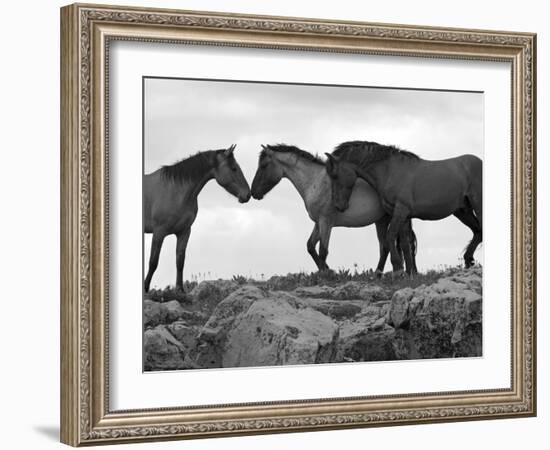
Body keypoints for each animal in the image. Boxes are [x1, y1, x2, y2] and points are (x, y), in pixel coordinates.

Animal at [144, 144, 252, 292]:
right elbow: (153, 262)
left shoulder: (184, 231)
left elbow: (180, 261)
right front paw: (145, 288)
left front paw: (180, 290)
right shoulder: (159, 232)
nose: (248, 194)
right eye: (233, 168)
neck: (175, 191)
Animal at [251, 144, 418, 274]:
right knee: (390, 246)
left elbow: (323, 250)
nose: (253, 192)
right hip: (382, 220)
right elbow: (310, 246)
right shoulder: (318, 222)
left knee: (399, 244)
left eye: (263, 165)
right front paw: (326, 269)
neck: (315, 182)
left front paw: (326, 273)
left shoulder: (326, 221)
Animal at [328, 141, 484, 274]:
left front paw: (398, 268)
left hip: (478, 205)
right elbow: (404, 243)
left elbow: (390, 236)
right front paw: (409, 272)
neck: (390, 171)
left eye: (334, 175)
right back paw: (468, 260)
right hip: (462, 211)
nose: (338, 205)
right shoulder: (403, 215)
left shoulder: (400, 211)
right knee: (478, 231)